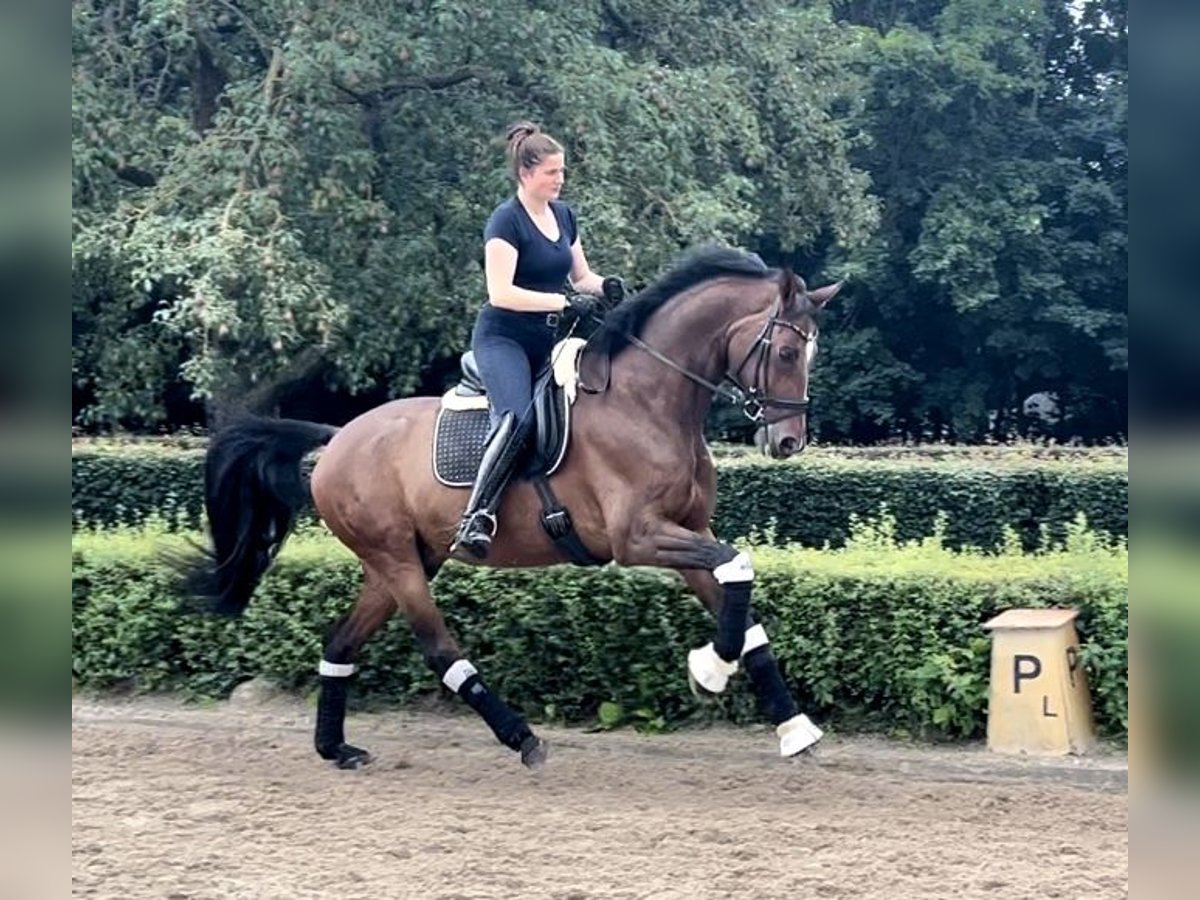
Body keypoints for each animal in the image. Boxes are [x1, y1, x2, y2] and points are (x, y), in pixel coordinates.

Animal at [187, 244, 844, 768]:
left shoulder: (686, 530)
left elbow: (742, 604)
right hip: (396, 561)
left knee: (341, 644)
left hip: (400, 562)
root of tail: (335, 440)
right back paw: (521, 737)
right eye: (789, 353)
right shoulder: (638, 537)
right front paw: (708, 671)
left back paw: (336, 748)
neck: (649, 401)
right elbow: (739, 566)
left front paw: (791, 726)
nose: (788, 442)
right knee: (439, 650)